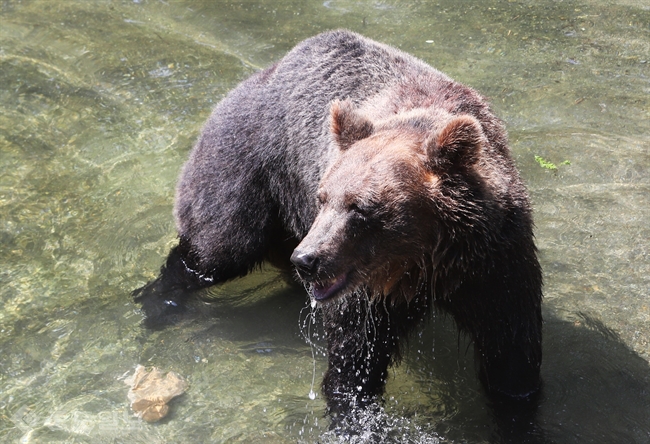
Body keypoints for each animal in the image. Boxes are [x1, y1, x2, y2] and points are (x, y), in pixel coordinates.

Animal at [135, 30, 540, 416]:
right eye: (323, 197)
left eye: (361, 207)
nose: (308, 259)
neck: (424, 263)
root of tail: (249, 80)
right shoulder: (367, 292)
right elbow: (355, 362)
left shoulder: (492, 264)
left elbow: (511, 356)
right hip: (244, 169)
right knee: (217, 247)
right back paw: (157, 303)